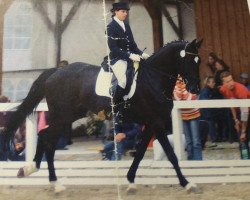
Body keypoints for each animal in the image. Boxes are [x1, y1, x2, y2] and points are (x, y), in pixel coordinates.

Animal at [3, 38, 202, 192]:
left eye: (199, 61)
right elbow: (171, 154)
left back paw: (32, 169)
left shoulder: (151, 123)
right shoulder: (156, 122)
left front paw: (130, 180)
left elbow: (140, 153)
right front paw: (187, 183)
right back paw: (53, 182)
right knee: (47, 139)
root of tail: (56, 71)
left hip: (69, 116)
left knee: (44, 136)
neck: (154, 79)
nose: (195, 89)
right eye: (190, 61)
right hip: (62, 116)